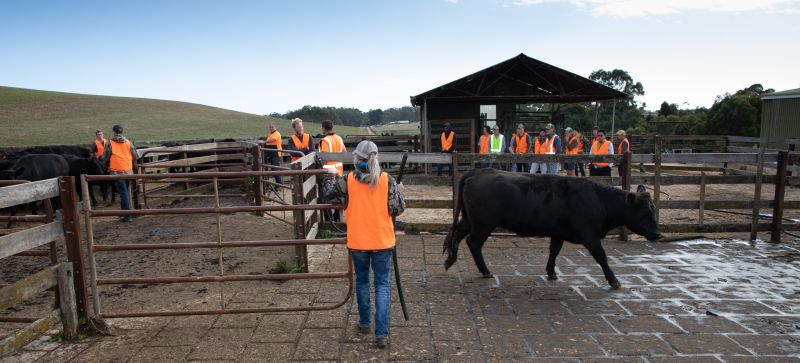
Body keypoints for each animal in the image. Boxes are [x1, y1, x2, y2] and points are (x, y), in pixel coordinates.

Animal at [440, 169, 660, 292]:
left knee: (457, 236)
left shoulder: (558, 233)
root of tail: (478, 172)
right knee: (473, 242)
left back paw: (450, 260)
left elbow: (554, 251)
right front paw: (614, 281)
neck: (598, 199)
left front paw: (551, 272)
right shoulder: (590, 237)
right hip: (483, 224)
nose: (658, 234)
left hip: (470, 220)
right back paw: (484, 270)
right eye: (645, 214)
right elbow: (602, 257)